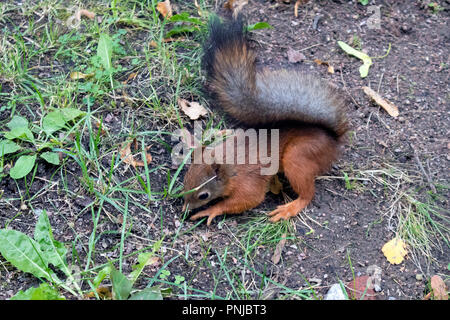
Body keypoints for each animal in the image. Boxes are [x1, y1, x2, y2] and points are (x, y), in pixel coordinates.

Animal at [182, 15, 348, 225]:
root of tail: (333, 140)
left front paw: (210, 211)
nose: (185, 209)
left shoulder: (248, 181)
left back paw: (290, 208)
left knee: (308, 194)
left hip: (299, 156)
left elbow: (248, 199)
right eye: (185, 179)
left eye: (204, 195)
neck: (229, 165)